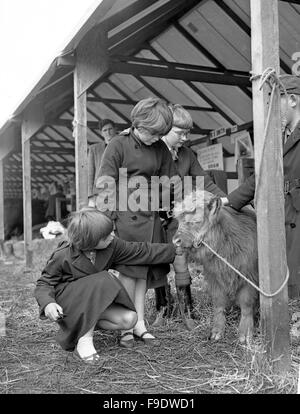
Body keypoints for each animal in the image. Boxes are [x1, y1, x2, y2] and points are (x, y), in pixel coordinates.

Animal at [172, 190, 258, 342]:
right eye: (179, 221)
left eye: (196, 221)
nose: (175, 241)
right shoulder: (214, 277)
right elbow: (218, 303)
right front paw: (217, 331)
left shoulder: (249, 277)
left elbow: (246, 304)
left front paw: (245, 333)